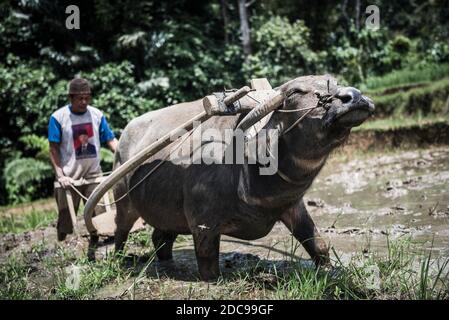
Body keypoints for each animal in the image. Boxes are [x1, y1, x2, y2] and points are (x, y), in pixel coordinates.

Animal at [86, 74, 372, 280]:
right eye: (295, 93)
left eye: (333, 81)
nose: (354, 97)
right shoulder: (203, 223)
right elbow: (208, 261)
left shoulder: (292, 205)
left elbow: (316, 242)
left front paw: (329, 270)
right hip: (124, 202)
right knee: (120, 231)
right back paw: (118, 257)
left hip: (166, 212)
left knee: (160, 237)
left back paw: (166, 262)